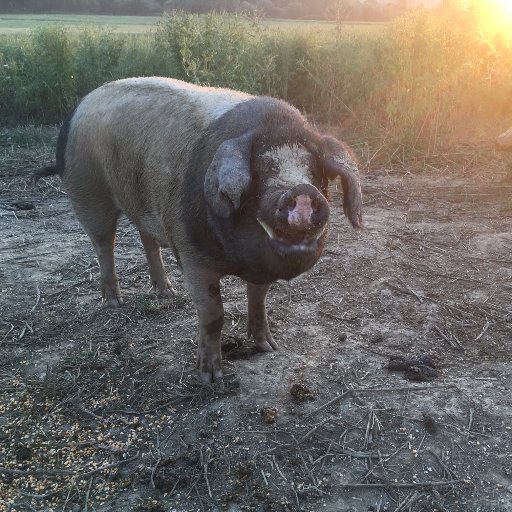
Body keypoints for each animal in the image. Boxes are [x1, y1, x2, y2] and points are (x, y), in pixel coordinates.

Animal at [34, 77, 362, 384]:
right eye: (261, 170)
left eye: (317, 173)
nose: (303, 192)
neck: (240, 262)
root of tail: (80, 106)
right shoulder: (191, 255)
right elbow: (213, 315)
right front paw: (210, 378)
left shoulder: (260, 269)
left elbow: (259, 299)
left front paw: (269, 347)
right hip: (87, 189)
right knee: (103, 243)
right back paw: (115, 302)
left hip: (142, 203)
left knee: (147, 240)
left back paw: (166, 291)